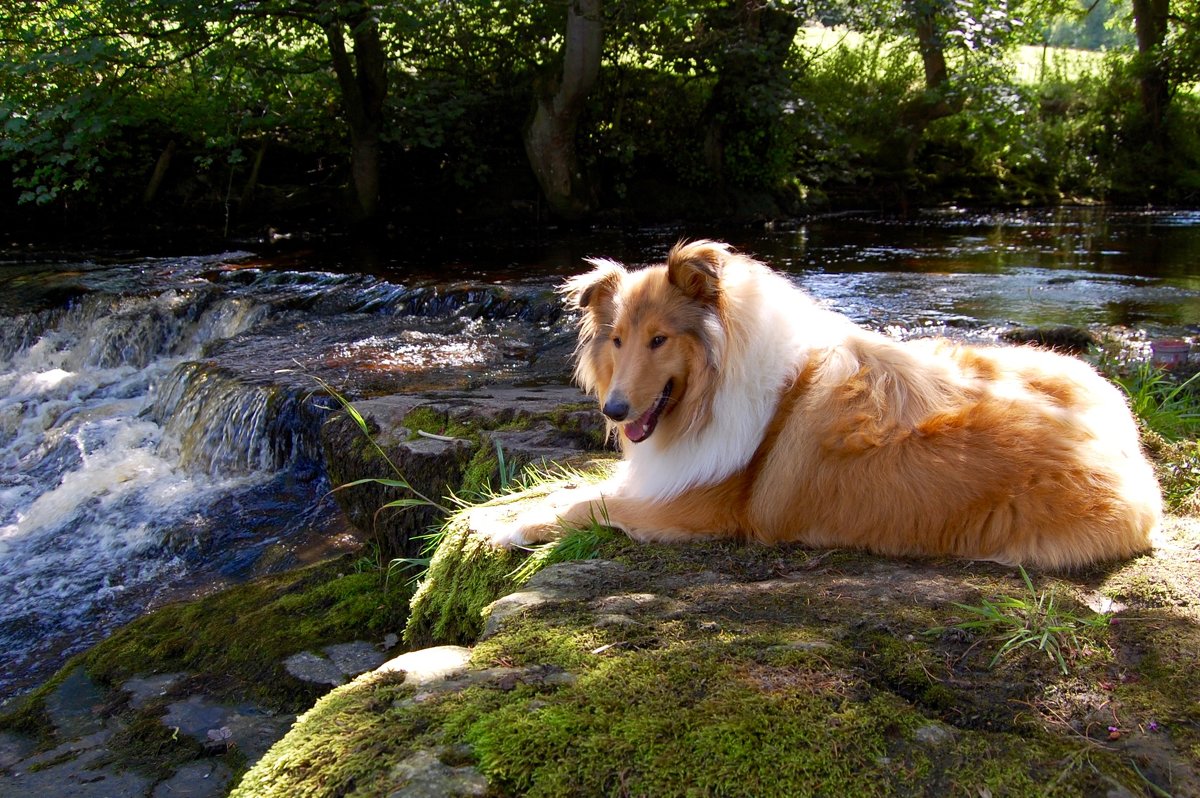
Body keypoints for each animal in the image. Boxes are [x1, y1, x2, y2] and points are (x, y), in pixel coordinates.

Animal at [482, 237, 1156, 566]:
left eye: (659, 339)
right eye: (617, 339)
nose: (615, 412)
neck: (712, 391)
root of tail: (1133, 455)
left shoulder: (692, 510)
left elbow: (583, 506)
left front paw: (499, 527)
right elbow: (573, 487)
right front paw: (500, 509)